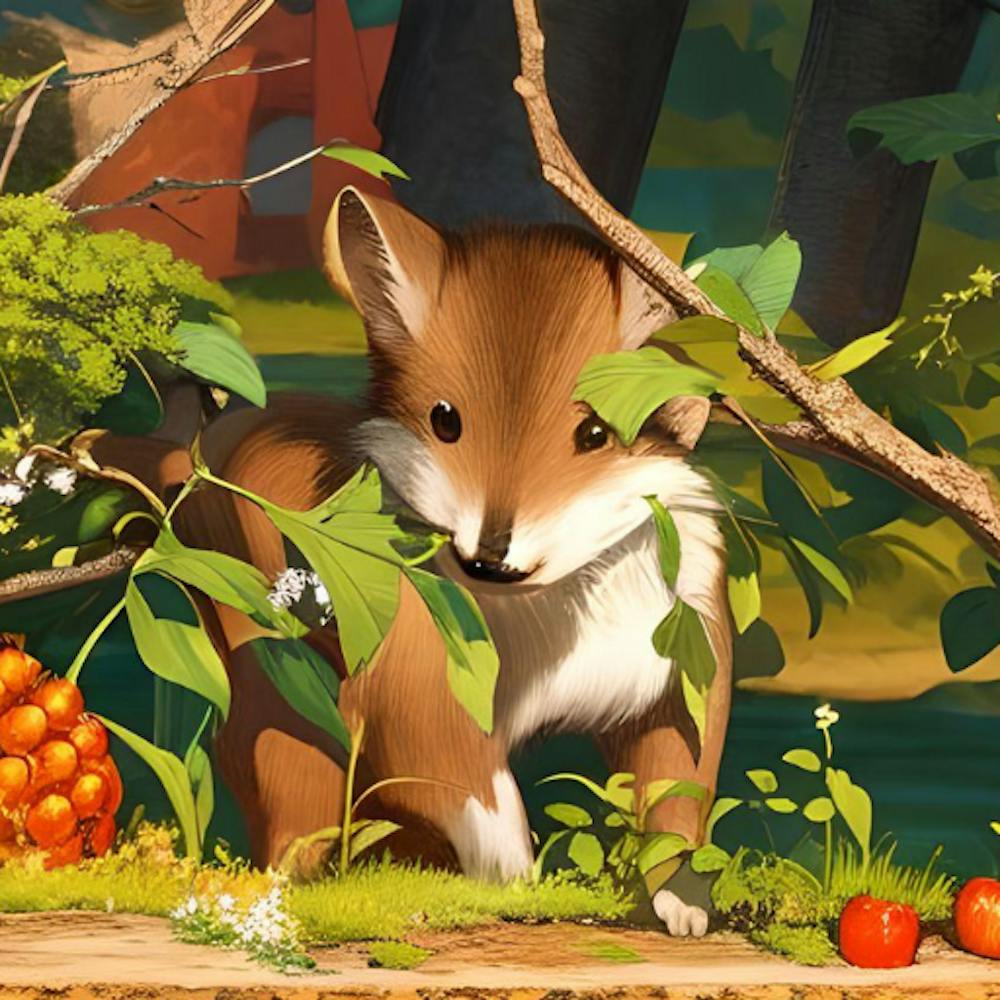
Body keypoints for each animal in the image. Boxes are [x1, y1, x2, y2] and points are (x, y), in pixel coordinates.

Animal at [96, 187, 732, 937]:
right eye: (445, 419)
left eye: (596, 433)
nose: (489, 559)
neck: (550, 628)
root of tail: (203, 450)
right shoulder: (412, 693)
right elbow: (486, 811)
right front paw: (518, 893)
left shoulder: (674, 683)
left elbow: (677, 803)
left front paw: (682, 901)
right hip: (280, 698)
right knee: (288, 807)